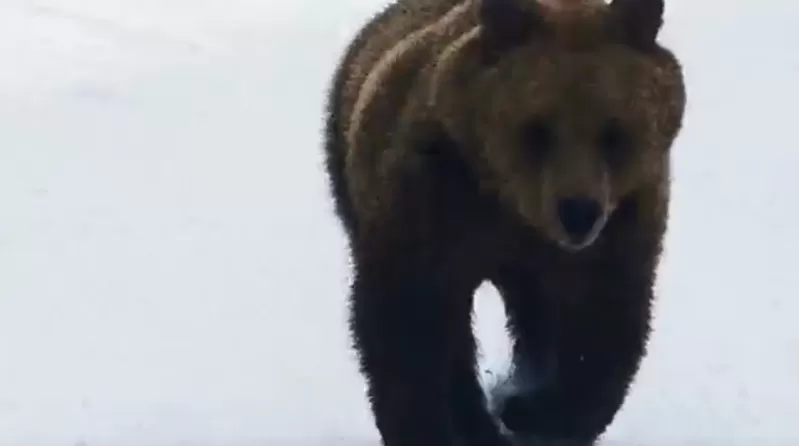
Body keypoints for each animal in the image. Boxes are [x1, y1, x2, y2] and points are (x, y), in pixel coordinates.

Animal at [321, 0, 686, 445]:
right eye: (537, 128)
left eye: (614, 132)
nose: (578, 213)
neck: (515, 209)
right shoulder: (433, 208)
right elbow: (406, 325)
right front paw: (433, 425)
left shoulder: (621, 227)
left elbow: (601, 330)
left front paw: (536, 411)